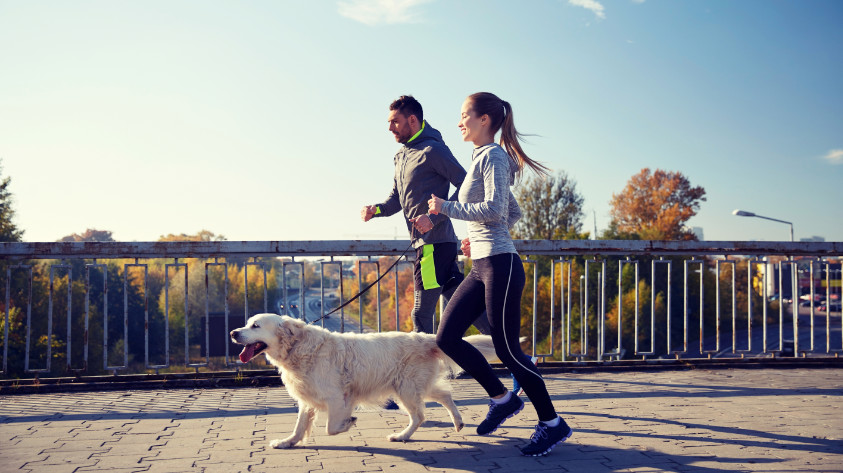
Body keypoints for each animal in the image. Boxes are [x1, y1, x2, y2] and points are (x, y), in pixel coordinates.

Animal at [229, 314, 502, 446]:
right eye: (246, 323)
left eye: (255, 326)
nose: (232, 332)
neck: (299, 347)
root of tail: (425, 337)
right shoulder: (308, 400)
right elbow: (299, 427)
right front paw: (287, 443)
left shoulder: (336, 397)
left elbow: (330, 427)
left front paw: (348, 423)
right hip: (413, 386)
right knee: (445, 394)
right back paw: (457, 422)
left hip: (406, 389)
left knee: (420, 416)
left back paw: (401, 436)